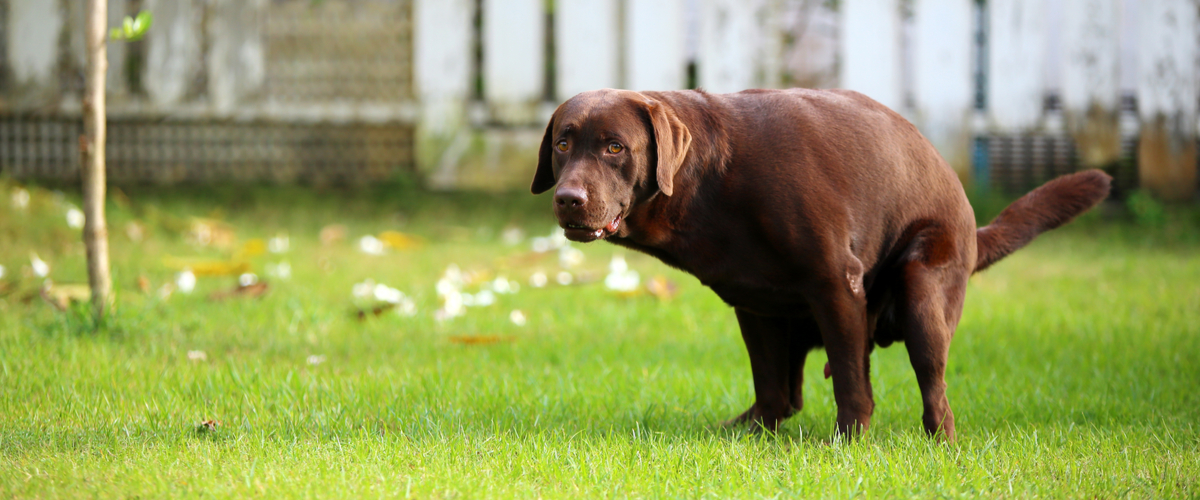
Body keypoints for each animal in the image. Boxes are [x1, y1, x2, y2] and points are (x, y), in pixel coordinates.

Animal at [530, 87, 1108, 438]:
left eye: (614, 147)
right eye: (562, 142)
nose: (568, 199)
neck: (712, 180)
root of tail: (969, 218)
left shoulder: (836, 284)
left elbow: (852, 381)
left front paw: (849, 442)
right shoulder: (754, 305)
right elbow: (770, 384)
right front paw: (752, 435)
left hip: (924, 287)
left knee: (935, 390)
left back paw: (940, 443)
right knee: (790, 394)